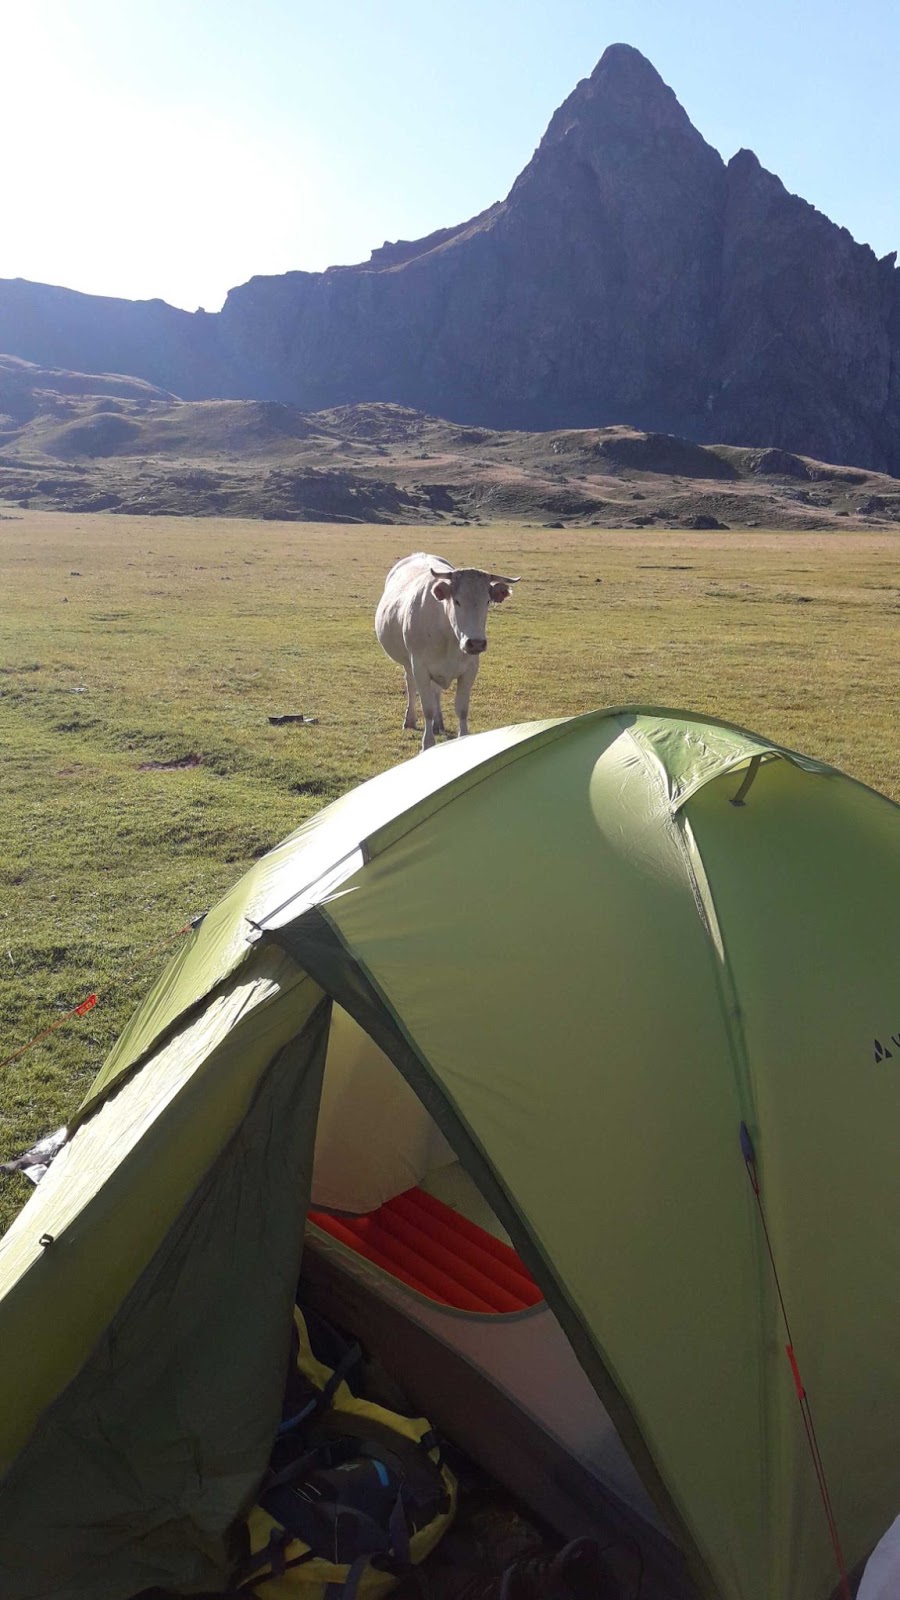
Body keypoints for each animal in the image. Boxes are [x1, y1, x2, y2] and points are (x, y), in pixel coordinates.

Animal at [374, 553, 518, 752]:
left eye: (487, 601)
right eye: (457, 601)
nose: (476, 643)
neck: (449, 634)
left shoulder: (470, 669)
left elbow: (462, 708)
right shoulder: (419, 666)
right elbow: (427, 708)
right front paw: (427, 744)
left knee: (436, 691)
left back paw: (438, 723)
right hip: (408, 662)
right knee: (411, 685)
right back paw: (410, 719)